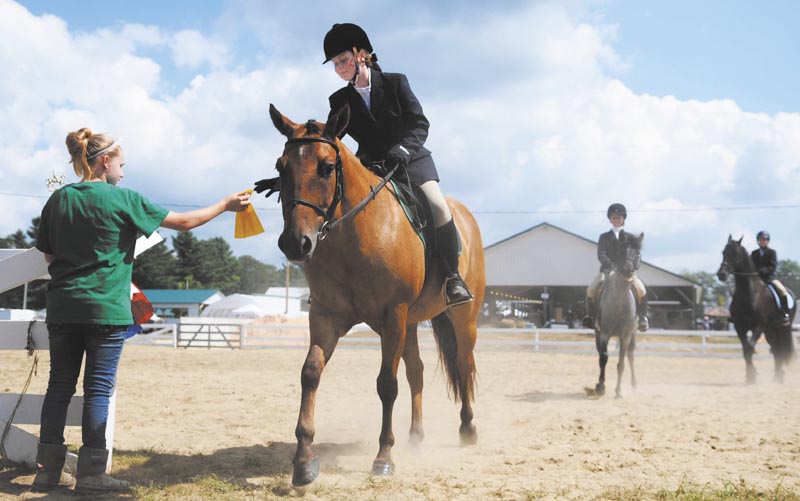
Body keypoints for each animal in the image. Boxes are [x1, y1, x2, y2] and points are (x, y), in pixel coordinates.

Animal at [264, 104, 486, 487]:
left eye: (327, 167)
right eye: (281, 167)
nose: (295, 243)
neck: (353, 236)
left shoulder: (392, 316)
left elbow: (387, 384)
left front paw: (384, 457)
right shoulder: (326, 316)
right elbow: (310, 373)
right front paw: (304, 460)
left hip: (461, 318)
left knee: (462, 363)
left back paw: (467, 429)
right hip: (411, 322)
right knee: (418, 372)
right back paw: (415, 437)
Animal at [593, 233, 643, 399]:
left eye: (637, 253)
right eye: (621, 252)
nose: (628, 269)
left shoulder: (625, 335)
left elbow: (621, 363)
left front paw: (618, 392)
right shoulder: (604, 333)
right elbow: (603, 358)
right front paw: (600, 386)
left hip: (633, 334)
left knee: (630, 355)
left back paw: (634, 385)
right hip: (597, 333)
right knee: (600, 354)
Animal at [716, 235, 796, 384]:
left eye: (735, 254)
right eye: (723, 252)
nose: (721, 274)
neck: (749, 293)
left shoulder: (758, 326)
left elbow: (750, 348)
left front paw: (752, 376)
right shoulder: (740, 327)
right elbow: (746, 350)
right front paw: (750, 376)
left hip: (779, 328)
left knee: (779, 349)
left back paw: (779, 377)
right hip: (770, 330)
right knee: (775, 349)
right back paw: (777, 377)